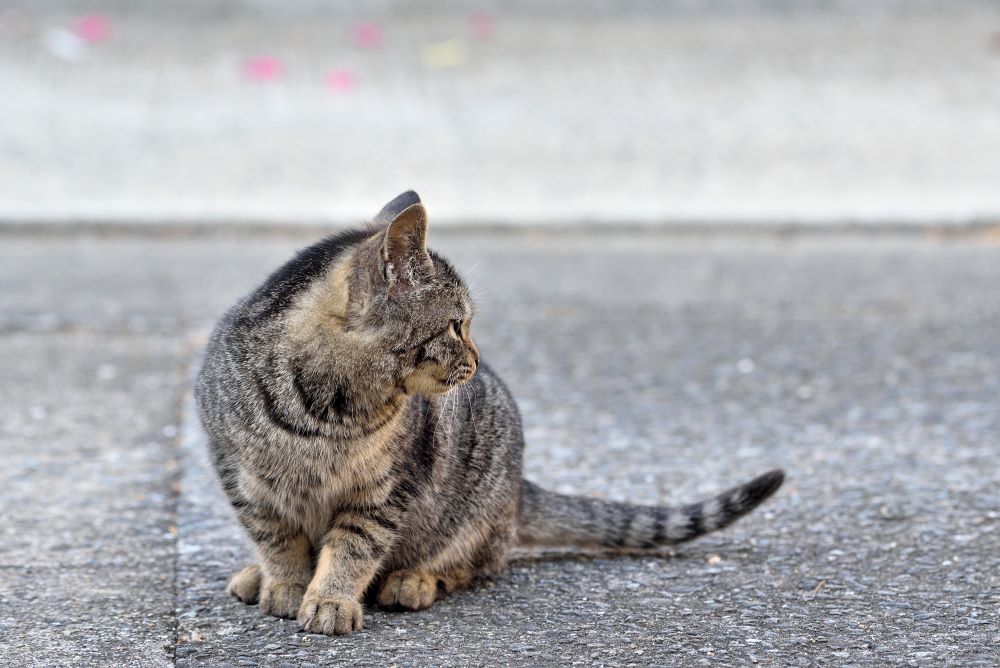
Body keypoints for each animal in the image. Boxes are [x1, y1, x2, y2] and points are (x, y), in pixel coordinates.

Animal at [195, 190, 784, 636]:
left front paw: (331, 599)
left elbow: (354, 547)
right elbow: (278, 539)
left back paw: (414, 581)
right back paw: (255, 577)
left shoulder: (390, 490)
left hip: (475, 504)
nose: (477, 358)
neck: (325, 410)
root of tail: (520, 488)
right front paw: (286, 584)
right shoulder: (242, 478)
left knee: (476, 564)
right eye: (457, 324)